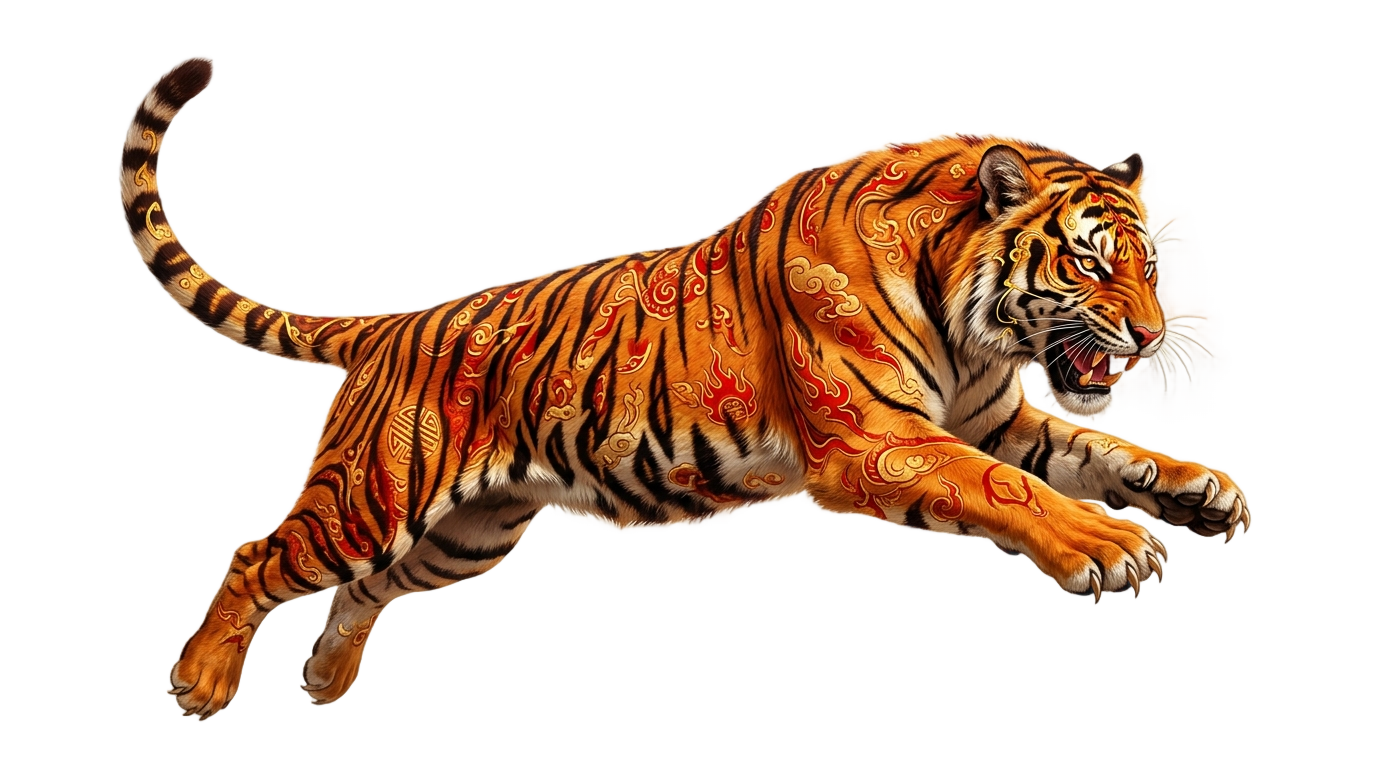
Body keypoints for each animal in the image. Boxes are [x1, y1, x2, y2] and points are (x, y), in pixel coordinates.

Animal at [119, 57, 1248, 717]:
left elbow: (1099, 452)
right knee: (262, 557)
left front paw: (1202, 492)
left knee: (362, 592)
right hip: (373, 498)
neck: (972, 322)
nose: (1151, 335)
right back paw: (202, 680)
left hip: (465, 530)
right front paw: (1107, 546)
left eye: (1151, 268)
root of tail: (395, 322)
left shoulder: (994, 413)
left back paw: (328, 682)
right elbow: (1007, 487)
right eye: (1092, 265)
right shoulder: (876, 438)